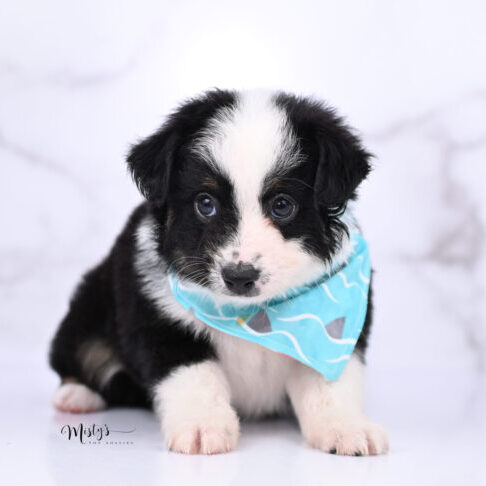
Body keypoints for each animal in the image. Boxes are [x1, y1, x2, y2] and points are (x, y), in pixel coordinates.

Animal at [49, 88, 390, 456]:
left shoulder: (332, 335)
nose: (239, 276)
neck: (253, 315)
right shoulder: (156, 316)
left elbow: (329, 383)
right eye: (205, 204)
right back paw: (76, 395)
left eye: (282, 205)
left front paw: (346, 428)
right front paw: (202, 426)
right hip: (88, 307)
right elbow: (193, 373)